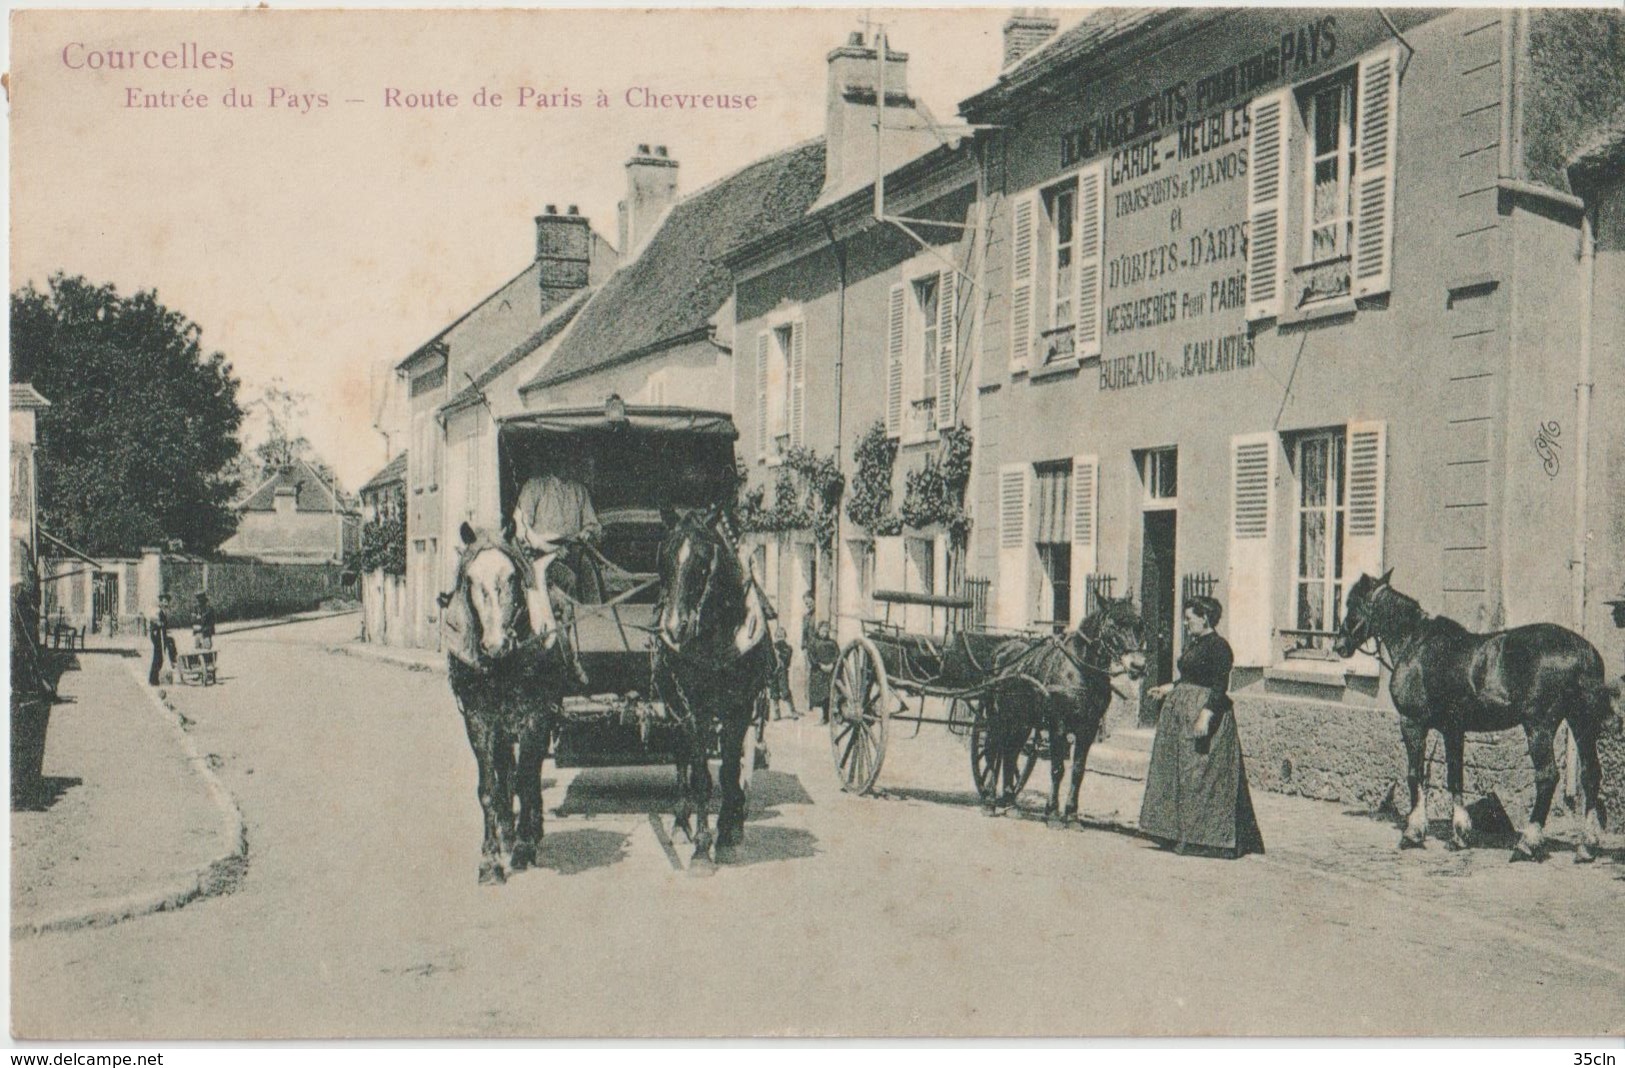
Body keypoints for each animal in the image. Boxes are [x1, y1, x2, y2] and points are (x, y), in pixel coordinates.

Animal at [442, 523, 575, 884]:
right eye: (469, 579)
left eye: (513, 576)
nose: (495, 644)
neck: (503, 665)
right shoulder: (479, 720)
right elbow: (489, 788)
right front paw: (491, 860)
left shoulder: (536, 717)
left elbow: (526, 779)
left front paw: (524, 846)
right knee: (505, 773)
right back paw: (507, 831)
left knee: (528, 773)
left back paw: (530, 830)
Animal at [646, 507, 773, 864]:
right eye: (663, 558)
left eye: (704, 561)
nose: (673, 628)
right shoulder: (692, 708)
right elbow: (701, 776)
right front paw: (702, 849)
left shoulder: (740, 707)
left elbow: (729, 771)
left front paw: (728, 833)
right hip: (674, 707)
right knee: (683, 757)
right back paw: (680, 823)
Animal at [981, 598, 1150, 825]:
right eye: (1114, 625)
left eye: (1140, 625)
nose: (1137, 666)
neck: (1081, 669)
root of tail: (1001, 650)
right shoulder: (1058, 725)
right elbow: (1058, 768)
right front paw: (1053, 812)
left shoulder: (1089, 728)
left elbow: (1078, 771)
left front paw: (1071, 814)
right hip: (997, 718)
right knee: (992, 752)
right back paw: (990, 802)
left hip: (1021, 722)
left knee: (1010, 753)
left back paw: (1010, 804)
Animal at [1332, 572, 1612, 864]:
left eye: (1352, 603)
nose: (1339, 645)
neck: (1415, 643)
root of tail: (1583, 652)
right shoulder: (1452, 729)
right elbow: (1455, 776)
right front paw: (1460, 833)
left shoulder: (1412, 723)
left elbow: (1414, 774)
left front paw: (1413, 832)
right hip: (1581, 723)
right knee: (1591, 773)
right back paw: (1587, 845)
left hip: (1539, 727)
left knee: (1547, 777)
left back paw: (1527, 843)